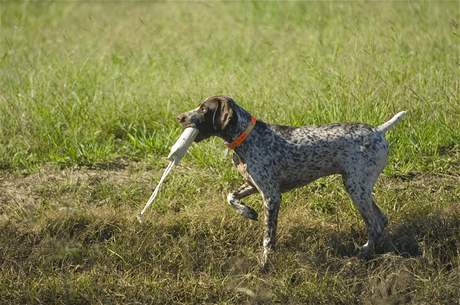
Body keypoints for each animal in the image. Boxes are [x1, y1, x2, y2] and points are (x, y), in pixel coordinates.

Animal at [176, 95, 406, 268]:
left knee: (374, 224)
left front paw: (265, 263)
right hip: (359, 187)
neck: (246, 137)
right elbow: (230, 196)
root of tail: (378, 130)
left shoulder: (271, 196)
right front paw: (247, 212)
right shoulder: (253, 185)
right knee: (381, 219)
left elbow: (268, 238)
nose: (179, 117)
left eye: (204, 109)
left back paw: (364, 254)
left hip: (356, 188)